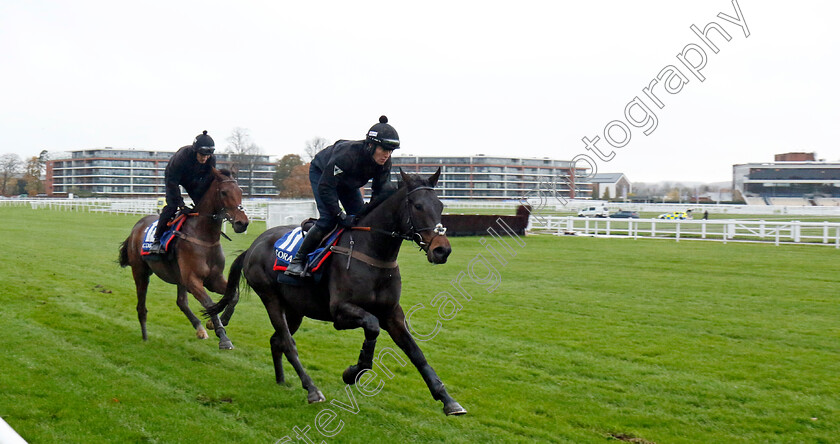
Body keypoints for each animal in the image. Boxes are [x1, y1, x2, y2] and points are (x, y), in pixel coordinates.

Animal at [118, 168, 249, 348]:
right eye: (224, 192)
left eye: (240, 191)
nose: (242, 223)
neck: (204, 238)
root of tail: (136, 227)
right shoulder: (193, 279)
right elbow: (209, 303)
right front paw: (223, 337)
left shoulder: (213, 279)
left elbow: (233, 296)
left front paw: (218, 322)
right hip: (140, 272)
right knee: (141, 306)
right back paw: (145, 337)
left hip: (179, 277)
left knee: (181, 302)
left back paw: (200, 329)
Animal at [203, 169, 466, 416]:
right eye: (418, 206)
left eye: (440, 205)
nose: (442, 250)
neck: (372, 253)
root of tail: (252, 247)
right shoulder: (340, 312)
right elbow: (372, 327)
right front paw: (352, 372)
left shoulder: (392, 313)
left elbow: (416, 352)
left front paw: (448, 401)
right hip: (271, 299)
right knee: (287, 342)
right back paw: (311, 389)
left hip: (295, 309)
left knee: (276, 340)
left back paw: (282, 381)